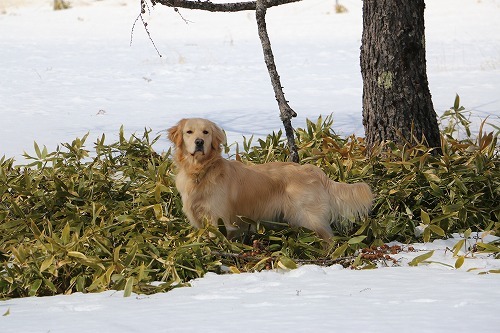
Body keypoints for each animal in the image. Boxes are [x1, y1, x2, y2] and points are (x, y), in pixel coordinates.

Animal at [167, 118, 372, 240]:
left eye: (206, 132)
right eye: (189, 132)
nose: (199, 142)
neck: (201, 171)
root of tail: (312, 170)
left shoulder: (219, 220)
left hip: (308, 216)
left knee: (328, 238)